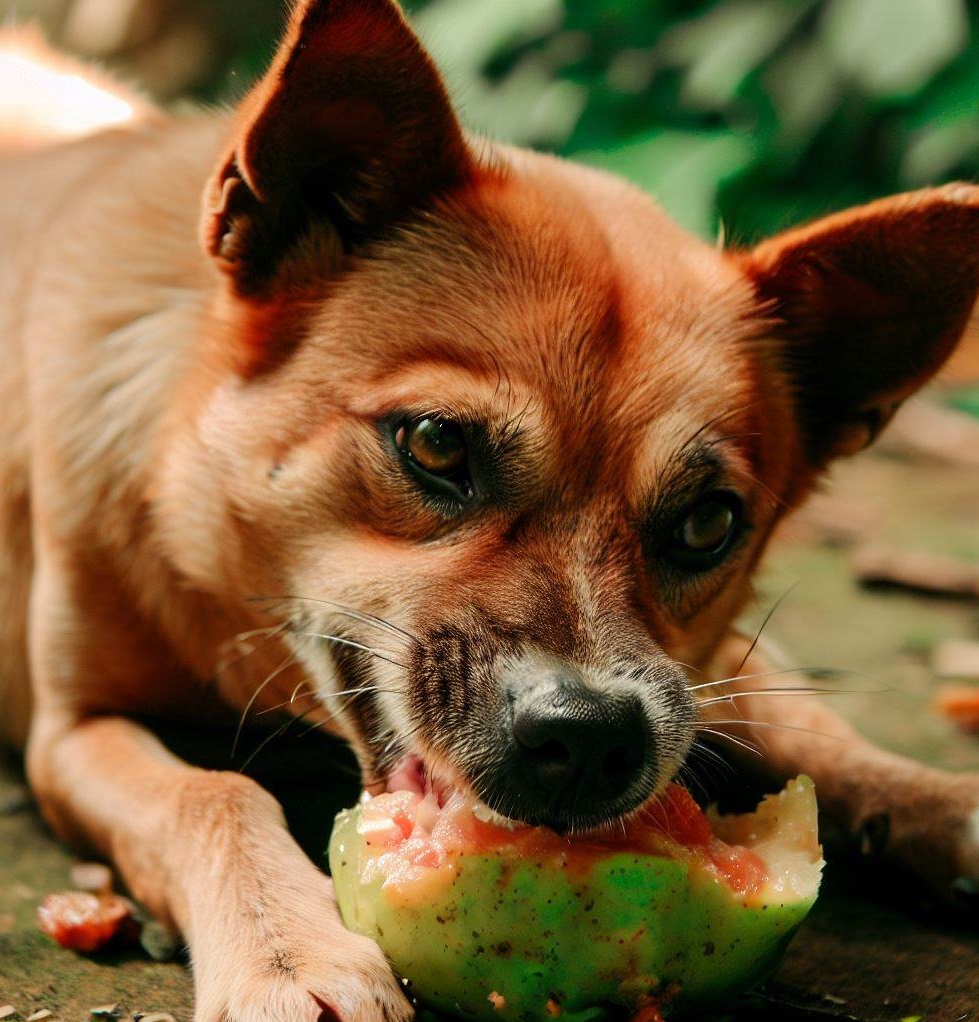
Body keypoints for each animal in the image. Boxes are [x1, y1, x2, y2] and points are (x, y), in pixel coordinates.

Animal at [1, 1, 979, 1021]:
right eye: (435, 444)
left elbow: (802, 722)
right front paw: (288, 953)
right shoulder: (71, 734)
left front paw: (937, 801)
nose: (590, 742)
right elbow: (216, 794)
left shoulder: (707, 668)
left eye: (707, 523)